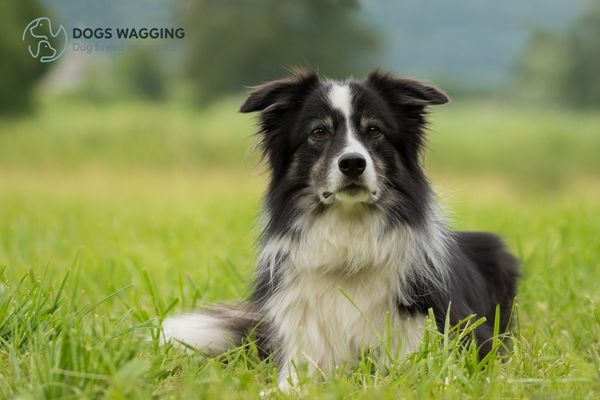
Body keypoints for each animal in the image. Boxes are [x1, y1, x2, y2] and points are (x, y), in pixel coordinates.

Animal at [162, 69, 516, 390]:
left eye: (374, 130)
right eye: (319, 132)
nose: (353, 163)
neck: (348, 245)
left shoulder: (446, 339)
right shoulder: (303, 350)